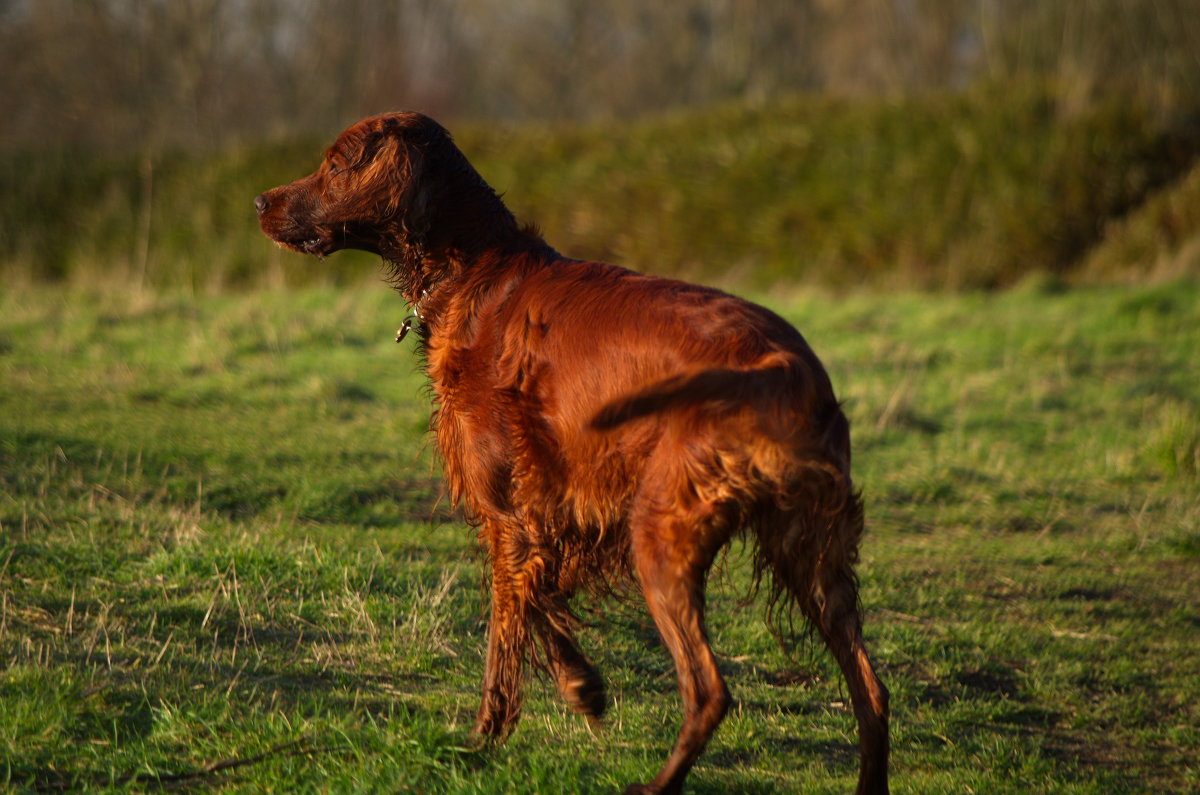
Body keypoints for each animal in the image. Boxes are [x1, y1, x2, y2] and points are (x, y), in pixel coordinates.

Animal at [255, 113, 892, 795]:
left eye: (336, 163)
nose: (260, 202)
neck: (472, 273)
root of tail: (783, 365)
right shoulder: (552, 509)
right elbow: (542, 599)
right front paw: (582, 686)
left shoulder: (510, 510)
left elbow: (511, 624)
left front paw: (486, 736)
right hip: (813, 553)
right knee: (872, 690)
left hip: (660, 533)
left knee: (710, 691)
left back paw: (655, 785)